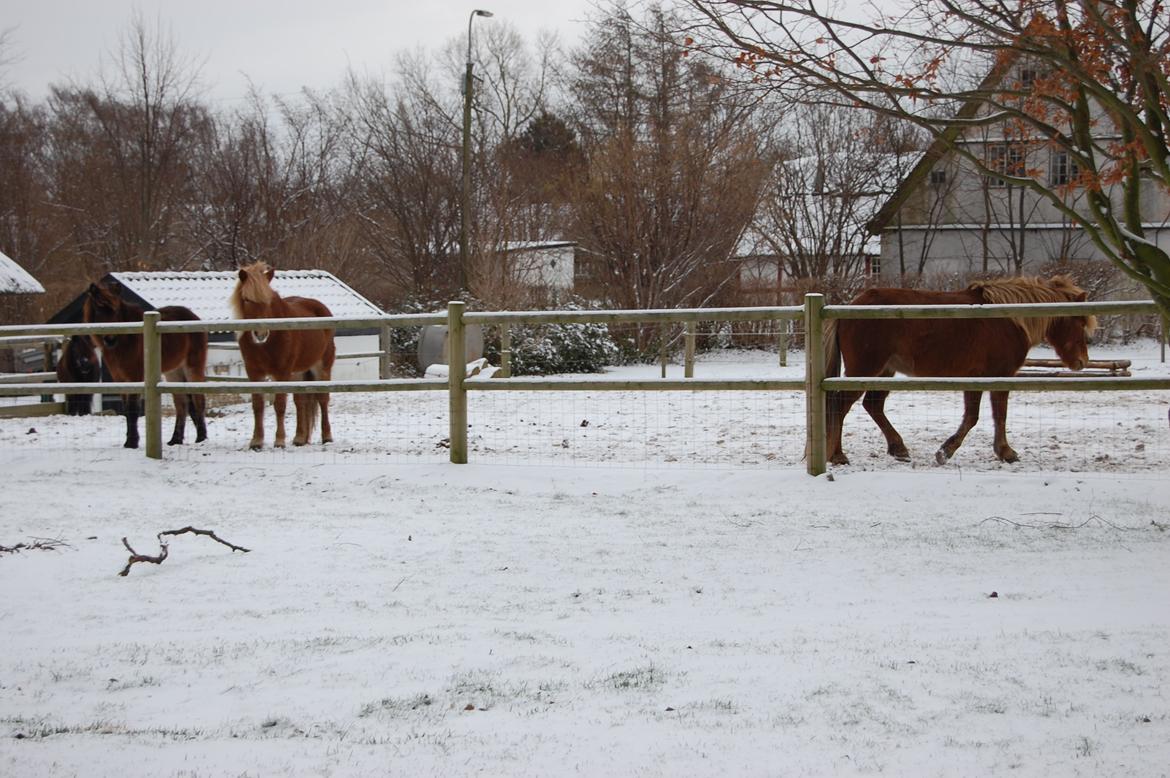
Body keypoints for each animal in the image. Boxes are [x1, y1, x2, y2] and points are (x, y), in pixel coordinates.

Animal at [83, 281, 210, 446]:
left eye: (115, 309)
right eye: (98, 308)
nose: (110, 339)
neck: (126, 339)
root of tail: (193, 317)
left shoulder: (134, 377)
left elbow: (132, 409)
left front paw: (132, 442)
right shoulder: (120, 379)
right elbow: (126, 409)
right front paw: (129, 440)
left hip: (192, 366)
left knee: (198, 399)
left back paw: (201, 438)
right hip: (174, 371)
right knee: (182, 403)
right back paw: (175, 439)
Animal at [229, 260, 336, 449]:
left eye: (268, 300)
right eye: (246, 299)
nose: (261, 333)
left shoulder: (282, 372)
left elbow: (279, 405)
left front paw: (279, 440)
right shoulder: (254, 372)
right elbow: (258, 405)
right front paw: (256, 441)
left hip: (321, 367)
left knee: (323, 399)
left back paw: (327, 436)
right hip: (298, 372)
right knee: (300, 401)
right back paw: (299, 438)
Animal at [823, 276, 1095, 463]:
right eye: (1079, 322)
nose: (1082, 361)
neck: (1008, 319)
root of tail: (848, 308)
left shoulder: (979, 379)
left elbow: (982, 416)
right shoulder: (996, 376)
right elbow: (989, 416)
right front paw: (955, 451)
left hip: (884, 371)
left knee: (873, 405)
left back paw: (898, 448)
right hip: (865, 369)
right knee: (840, 405)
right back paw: (837, 455)